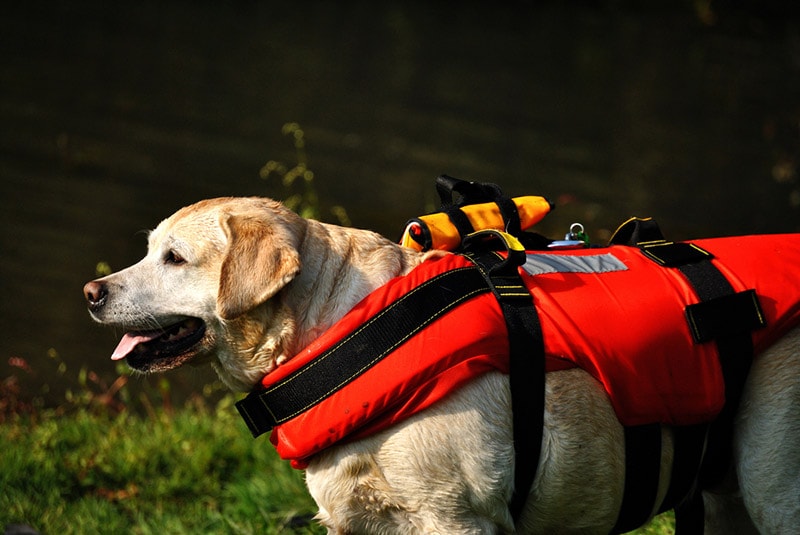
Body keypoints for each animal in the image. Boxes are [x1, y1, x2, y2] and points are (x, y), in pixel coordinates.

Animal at [83, 199, 800, 532]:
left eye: (174, 258)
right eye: (149, 250)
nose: (91, 292)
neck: (339, 321)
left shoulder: (456, 517)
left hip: (772, 487)